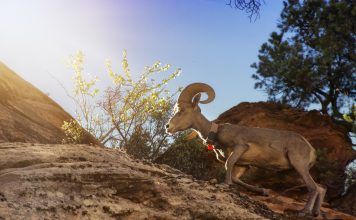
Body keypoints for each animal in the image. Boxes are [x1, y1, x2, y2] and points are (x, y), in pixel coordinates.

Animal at [165, 82, 326, 217]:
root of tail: (310, 148)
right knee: (321, 188)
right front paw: (263, 191)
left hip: (298, 165)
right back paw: (315, 213)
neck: (216, 132)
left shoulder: (240, 147)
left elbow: (228, 164)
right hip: (294, 170)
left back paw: (304, 212)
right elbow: (237, 178)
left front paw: (226, 184)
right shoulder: (244, 165)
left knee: (313, 188)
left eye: (181, 111)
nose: (168, 127)